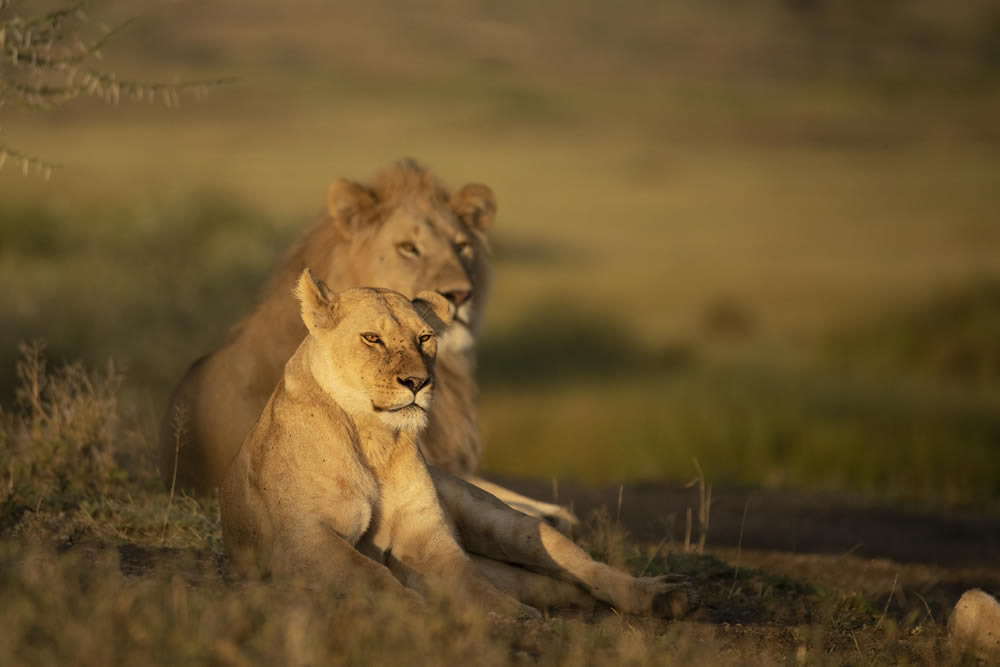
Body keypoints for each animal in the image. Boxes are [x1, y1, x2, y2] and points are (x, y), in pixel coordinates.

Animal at [222, 272, 700, 620]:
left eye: (425, 338)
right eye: (372, 338)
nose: (418, 382)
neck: (374, 438)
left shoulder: (428, 540)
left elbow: (469, 583)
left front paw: (511, 618)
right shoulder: (304, 538)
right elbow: (370, 573)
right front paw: (414, 610)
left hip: (507, 523)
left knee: (577, 565)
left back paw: (662, 595)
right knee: (553, 585)